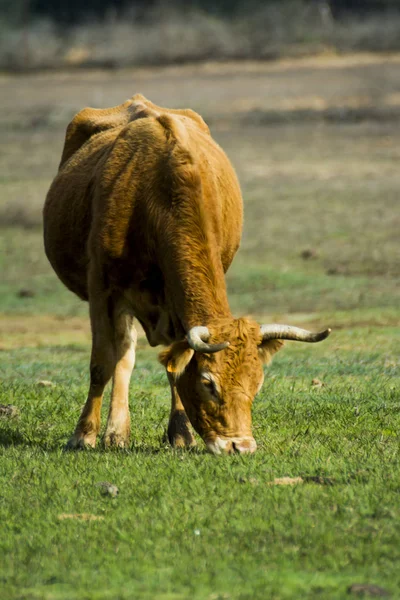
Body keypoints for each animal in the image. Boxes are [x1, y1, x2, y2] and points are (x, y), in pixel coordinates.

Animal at [43, 95, 332, 454]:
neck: (156, 196)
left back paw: (118, 432)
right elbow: (101, 363)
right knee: (120, 354)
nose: (240, 446)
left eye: (257, 383)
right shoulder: (102, 290)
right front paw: (83, 434)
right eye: (209, 383)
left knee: (127, 353)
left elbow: (174, 366)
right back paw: (113, 431)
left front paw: (180, 433)